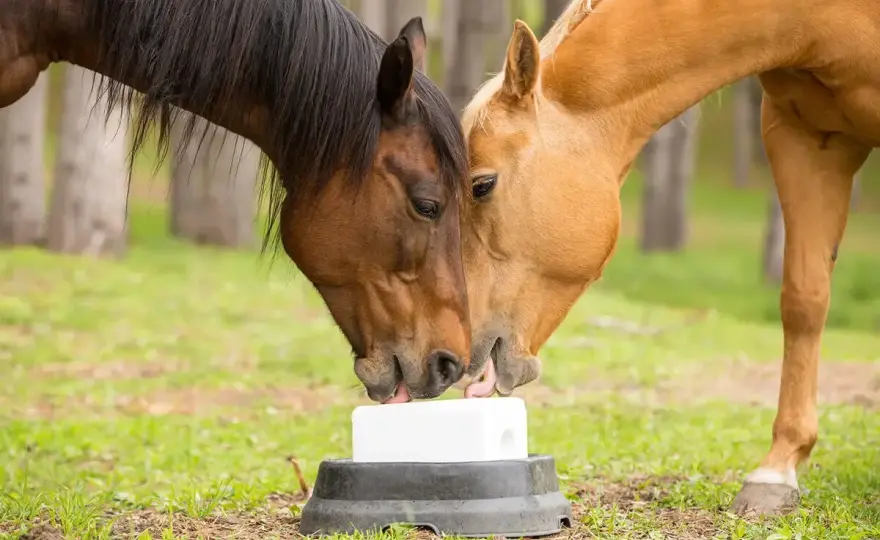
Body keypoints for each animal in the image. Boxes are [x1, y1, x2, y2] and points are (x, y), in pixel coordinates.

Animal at [458, 0, 880, 518]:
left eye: (482, 185)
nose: (461, 352)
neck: (821, 23)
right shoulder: (805, 137)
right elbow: (804, 301)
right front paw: (776, 472)